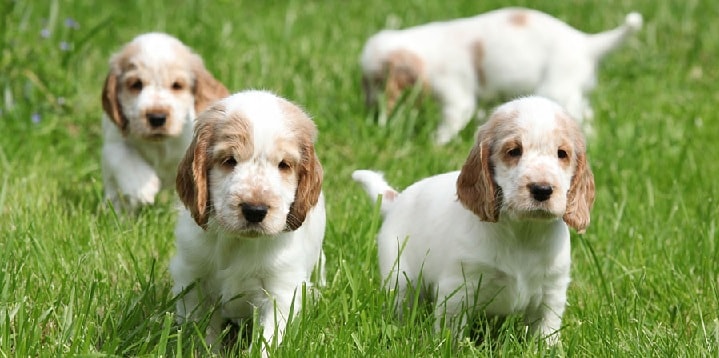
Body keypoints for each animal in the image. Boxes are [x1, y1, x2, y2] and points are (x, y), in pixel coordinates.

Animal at [101, 32, 228, 210]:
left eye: (177, 85)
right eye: (136, 84)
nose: (157, 118)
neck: (159, 144)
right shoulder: (114, 142)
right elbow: (124, 156)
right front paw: (142, 189)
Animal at [169, 89, 326, 352]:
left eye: (284, 165)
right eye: (229, 160)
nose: (255, 210)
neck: (238, 242)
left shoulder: (280, 291)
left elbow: (268, 341)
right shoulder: (193, 279)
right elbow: (201, 331)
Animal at [352, 95, 596, 344]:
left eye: (562, 153)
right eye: (514, 151)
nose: (542, 189)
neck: (523, 231)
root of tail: (396, 200)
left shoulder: (551, 293)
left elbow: (546, 334)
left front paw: (546, 349)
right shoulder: (459, 289)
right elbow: (452, 334)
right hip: (399, 276)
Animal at [362, 7, 644, 144]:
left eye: (377, 81)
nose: (371, 111)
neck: (426, 46)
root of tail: (585, 43)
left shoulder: (456, 95)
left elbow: (452, 120)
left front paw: (436, 143)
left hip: (557, 90)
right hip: (574, 93)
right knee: (588, 116)